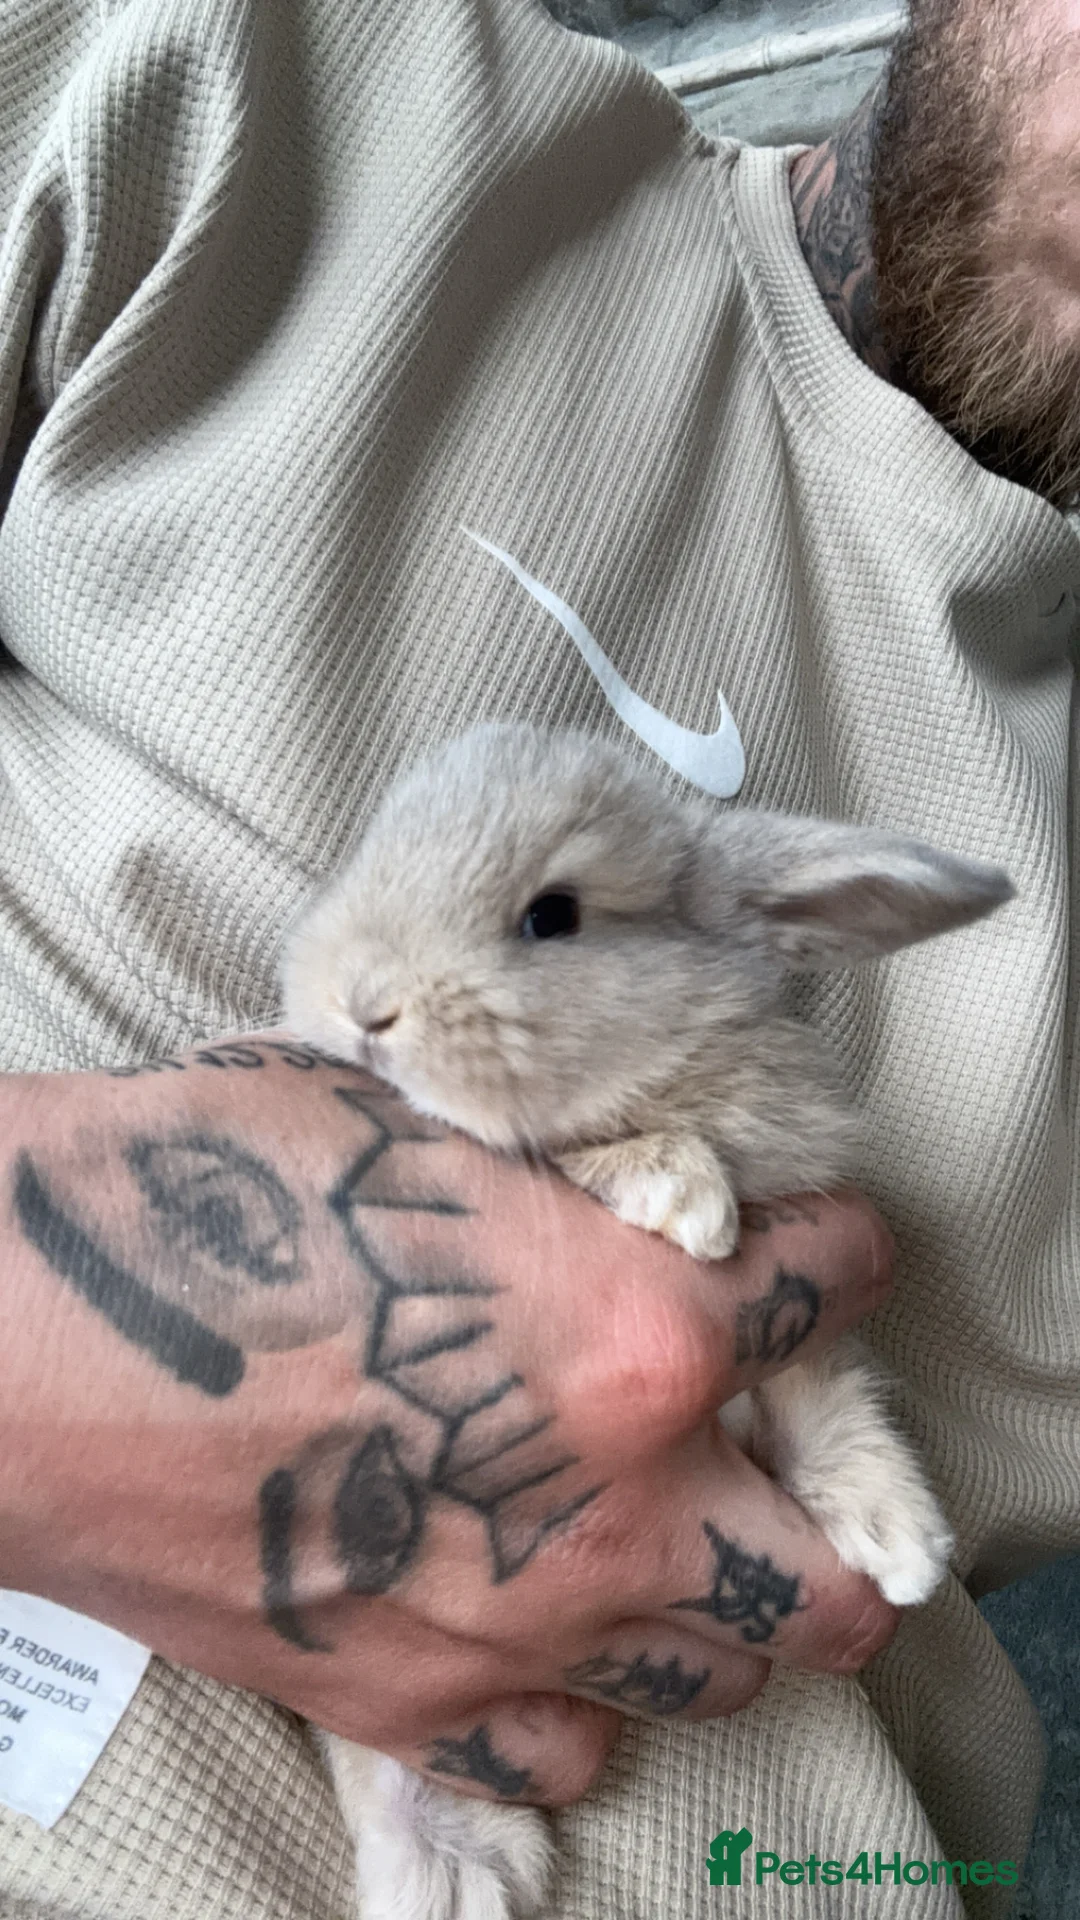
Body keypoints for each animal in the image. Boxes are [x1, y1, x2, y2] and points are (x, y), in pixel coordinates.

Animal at [279, 720, 1013, 1920]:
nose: (358, 1002)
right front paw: (684, 1194)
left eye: (553, 915)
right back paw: (450, 1875)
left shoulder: (809, 1311)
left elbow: (823, 1398)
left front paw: (900, 1540)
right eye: (370, 851)